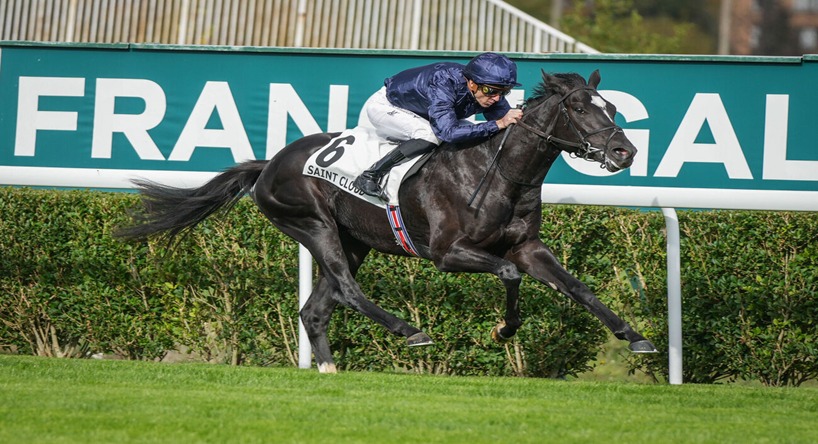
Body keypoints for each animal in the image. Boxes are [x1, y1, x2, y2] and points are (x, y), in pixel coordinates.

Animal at [117, 69, 658, 374]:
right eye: (578, 107)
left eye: (612, 107)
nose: (624, 152)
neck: (498, 169)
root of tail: (269, 164)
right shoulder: (447, 253)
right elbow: (507, 273)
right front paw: (504, 330)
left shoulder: (529, 247)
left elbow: (578, 287)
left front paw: (636, 337)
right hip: (312, 224)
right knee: (348, 291)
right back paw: (409, 330)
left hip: (353, 240)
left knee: (316, 309)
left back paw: (329, 369)